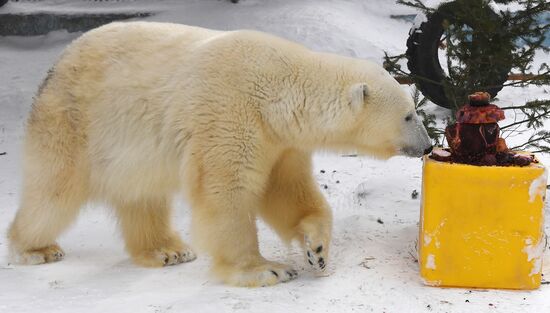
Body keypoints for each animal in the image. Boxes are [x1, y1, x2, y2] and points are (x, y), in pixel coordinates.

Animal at [6, 21, 434, 286]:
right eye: (409, 114)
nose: (429, 144)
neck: (276, 88)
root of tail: (57, 63)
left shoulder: (279, 139)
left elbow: (286, 191)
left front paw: (317, 250)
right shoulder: (231, 111)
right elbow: (226, 192)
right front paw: (265, 271)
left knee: (142, 195)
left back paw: (167, 250)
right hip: (74, 121)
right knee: (54, 191)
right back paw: (35, 248)